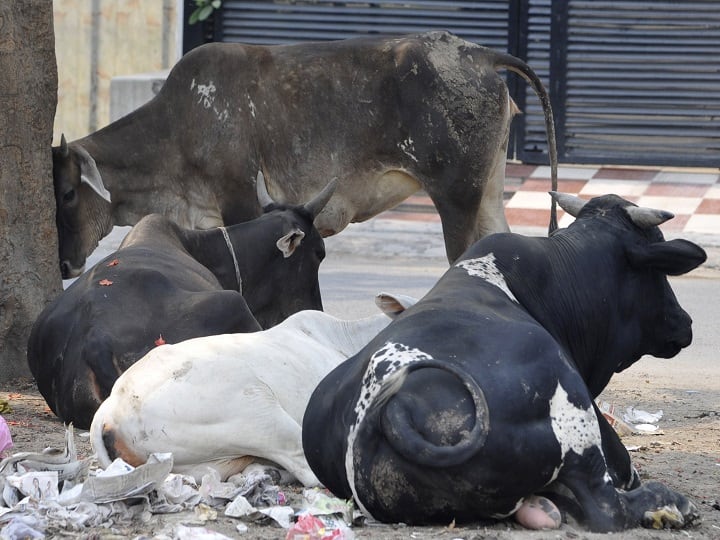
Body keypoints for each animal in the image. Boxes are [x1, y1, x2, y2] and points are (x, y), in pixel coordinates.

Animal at [53, 30, 558, 278]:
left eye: (68, 193)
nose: (63, 264)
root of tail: (477, 54)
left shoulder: (240, 200)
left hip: (456, 197)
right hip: (489, 192)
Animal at [302, 192, 706, 532]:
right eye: (658, 269)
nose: (686, 322)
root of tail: (392, 406)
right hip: (571, 410)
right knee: (607, 507)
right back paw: (670, 503)